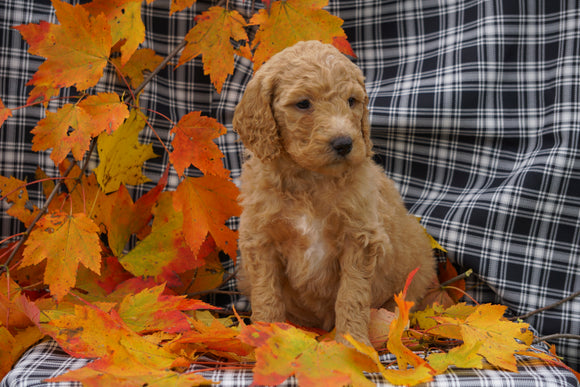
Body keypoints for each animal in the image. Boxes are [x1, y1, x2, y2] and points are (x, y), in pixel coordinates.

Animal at [232, 40, 436, 346]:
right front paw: (265, 335)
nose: (344, 143)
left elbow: (351, 295)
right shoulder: (261, 239)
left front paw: (352, 344)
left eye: (352, 101)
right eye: (303, 103)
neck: (310, 179)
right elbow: (267, 294)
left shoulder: (360, 238)